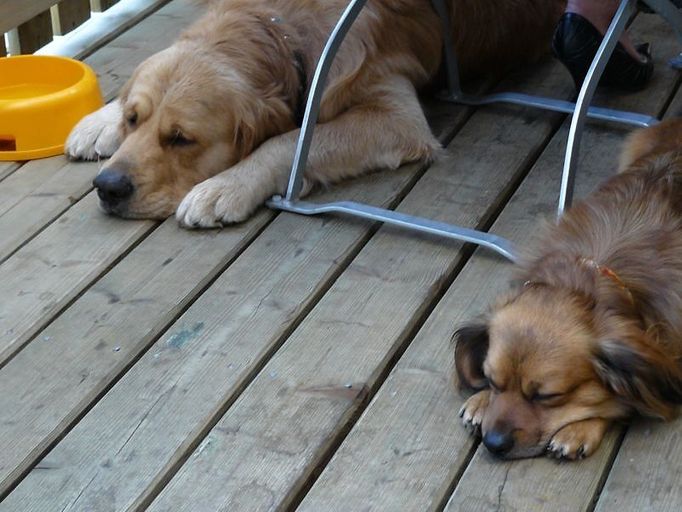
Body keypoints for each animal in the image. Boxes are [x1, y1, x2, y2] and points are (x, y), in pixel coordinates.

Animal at [65, 0, 564, 226]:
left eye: (182, 138)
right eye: (133, 120)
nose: (107, 187)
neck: (277, 27)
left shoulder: (396, 114)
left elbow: (288, 139)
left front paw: (225, 186)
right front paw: (98, 122)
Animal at [452, 119, 680, 460]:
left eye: (547, 396)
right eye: (492, 381)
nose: (493, 444)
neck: (586, 274)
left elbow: (621, 400)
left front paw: (580, 428)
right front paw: (481, 401)